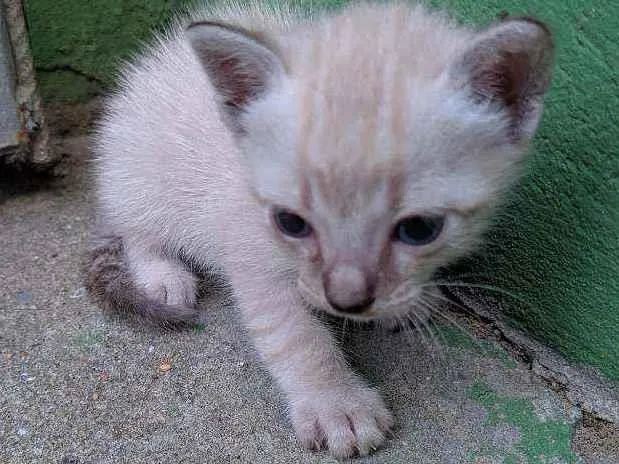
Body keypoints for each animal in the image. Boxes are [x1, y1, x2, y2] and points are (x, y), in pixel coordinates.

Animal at [85, 1, 556, 458]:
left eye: (420, 229)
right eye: (290, 222)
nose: (346, 302)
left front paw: (410, 300)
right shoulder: (248, 251)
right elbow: (296, 334)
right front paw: (336, 405)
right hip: (139, 178)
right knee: (136, 230)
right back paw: (163, 276)